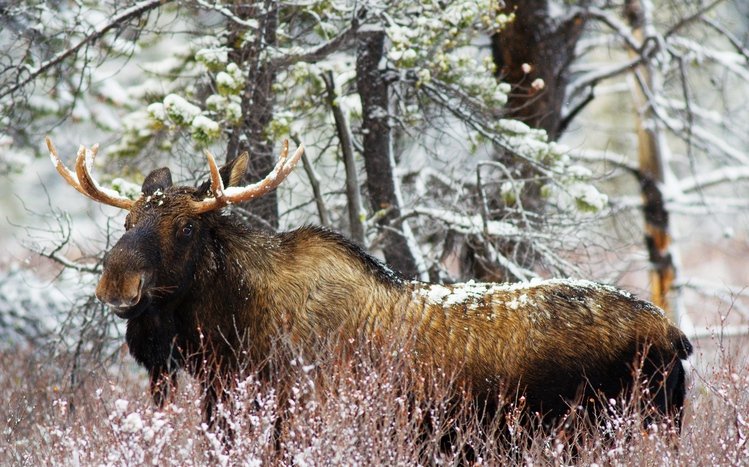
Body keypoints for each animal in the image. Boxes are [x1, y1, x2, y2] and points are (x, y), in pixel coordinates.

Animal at [46, 136, 692, 440]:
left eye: (185, 227)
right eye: (126, 224)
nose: (116, 281)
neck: (226, 339)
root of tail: (677, 336)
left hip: (629, 428)